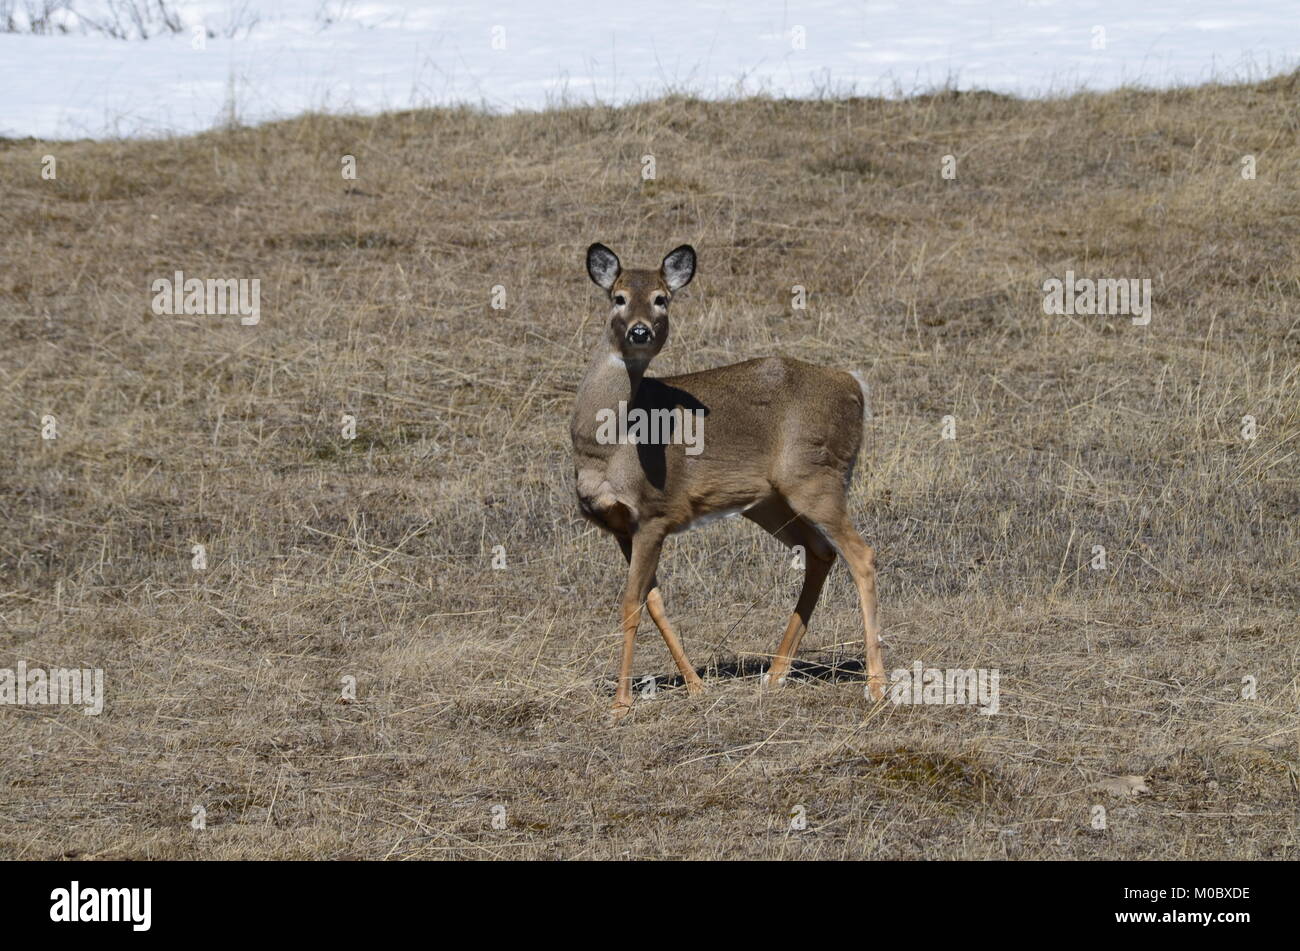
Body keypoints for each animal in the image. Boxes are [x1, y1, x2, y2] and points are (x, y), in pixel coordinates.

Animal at [569, 245, 883, 722]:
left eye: (662, 299)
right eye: (618, 297)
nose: (641, 331)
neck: (607, 448)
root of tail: (856, 385)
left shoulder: (656, 512)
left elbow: (630, 604)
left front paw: (621, 703)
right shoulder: (621, 526)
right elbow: (655, 601)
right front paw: (697, 685)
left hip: (817, 476)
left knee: (861, 554)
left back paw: (876, 684)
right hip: (770, 500)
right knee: (820, 551)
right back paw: (775, 673)